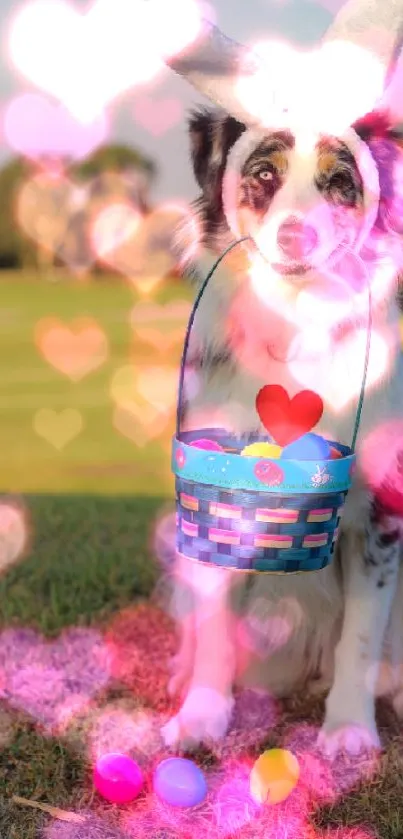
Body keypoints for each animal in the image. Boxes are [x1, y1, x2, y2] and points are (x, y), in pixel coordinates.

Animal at [160, 6, 403, 756]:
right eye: (261, 173)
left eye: (340, 181)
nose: (298, 236)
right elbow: (215, 628)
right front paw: (202, 716)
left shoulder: (382, 510)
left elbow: (361, 633)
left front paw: (349, 730)